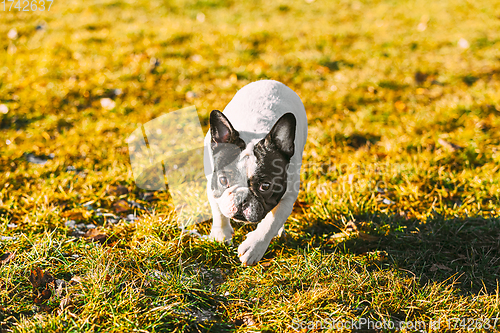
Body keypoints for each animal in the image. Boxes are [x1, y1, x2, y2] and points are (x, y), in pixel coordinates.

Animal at [204, 80, 308, 264]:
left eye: (265, 186)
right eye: (223, 180)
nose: (241, 199)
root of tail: (270, 81)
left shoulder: (288, 196)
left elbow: (271, 222)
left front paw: (254, 247)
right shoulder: (212, 184)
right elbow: (218, 209)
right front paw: (221, 234)